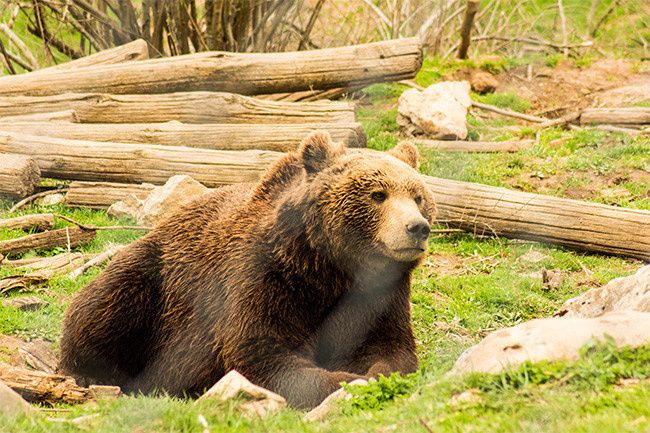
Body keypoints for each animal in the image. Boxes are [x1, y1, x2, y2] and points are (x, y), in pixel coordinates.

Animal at [59, 132, 436, 408]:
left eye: (417, 196)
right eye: (377, 194)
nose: (417, 227)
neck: (330, 266)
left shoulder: (381, 293)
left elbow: (390, 348)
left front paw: (375, 374)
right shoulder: (267, 277)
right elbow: (260, 350)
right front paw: (343, 380)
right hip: (155, 277)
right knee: (104, 305)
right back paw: (93, 374)